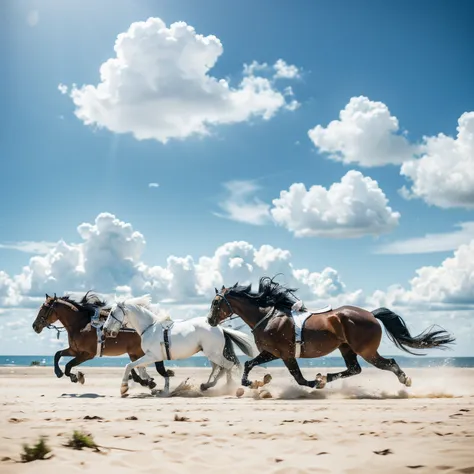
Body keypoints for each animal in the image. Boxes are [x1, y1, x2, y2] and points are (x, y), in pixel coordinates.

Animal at [32, 290, 175, 386]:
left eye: (44, 308)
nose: (35, 326)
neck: (80, 325)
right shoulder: (74, 350)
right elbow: (57, 355)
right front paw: (59, 372)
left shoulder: (87, 354)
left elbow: (68, 365)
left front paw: (76, 377)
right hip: (134, 352)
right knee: (137, 367)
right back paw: (144, 380)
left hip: (140, 351)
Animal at [102, 294, 258, 398]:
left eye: (112, 313)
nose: (105, 329)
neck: (149, 327)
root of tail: (219, 328)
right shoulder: (153, 357)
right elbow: (143, 369)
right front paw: (153, 385)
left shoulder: (152, 356)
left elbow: (130, 366)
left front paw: (124, 388)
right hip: (213, 354)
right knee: (220, 368)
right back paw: (207, 385)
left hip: (213, 354)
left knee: (227, 366)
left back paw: (228, 387)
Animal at [207, 276, 456, 390]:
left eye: (216, 302)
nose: (209, 320)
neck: (268, 317)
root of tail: (371, 314)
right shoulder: (272, 353)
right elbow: (250, 364)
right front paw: (256, 382)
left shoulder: (283, 354)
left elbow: (298, 377)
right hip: (347, 348)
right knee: (354, 369)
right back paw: (326, 376)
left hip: (366, 350)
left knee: (388, 363)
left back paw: (405, 379)